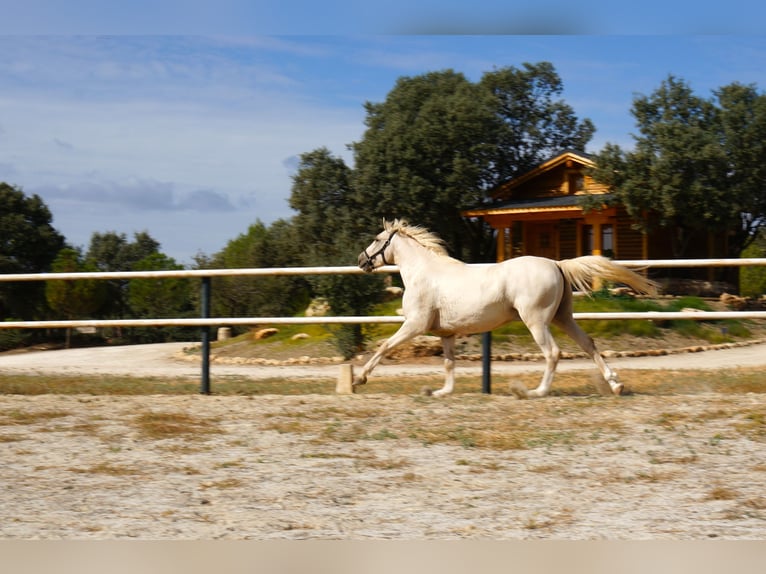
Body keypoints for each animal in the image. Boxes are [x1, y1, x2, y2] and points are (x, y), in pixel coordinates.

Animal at [356, 220, 660, 400]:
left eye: (377, 238)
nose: (361, 260)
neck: (423, 272)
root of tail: (557, 264)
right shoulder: (446, 333)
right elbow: (449, 363)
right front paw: (441, 391)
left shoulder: (415, 325)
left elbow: (384, 346)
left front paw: (360, 378)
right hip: (563, 318)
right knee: (588, 344)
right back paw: (616, 385)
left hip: (536, 321)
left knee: (553, 353)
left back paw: (536, 391)